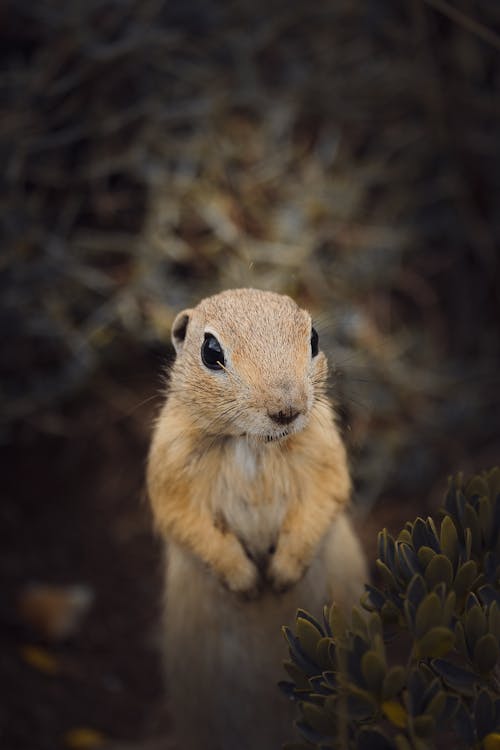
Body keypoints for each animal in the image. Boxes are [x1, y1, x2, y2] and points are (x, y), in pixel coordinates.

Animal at [146, 290, 366, 750]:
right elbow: (187, 522)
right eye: (211, 352)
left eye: (313, 338)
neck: (252, 444)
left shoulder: (324, 455)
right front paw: (247, 582)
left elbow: (322, 500)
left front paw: (280, 576)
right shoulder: (171, 472)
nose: (286, 410)